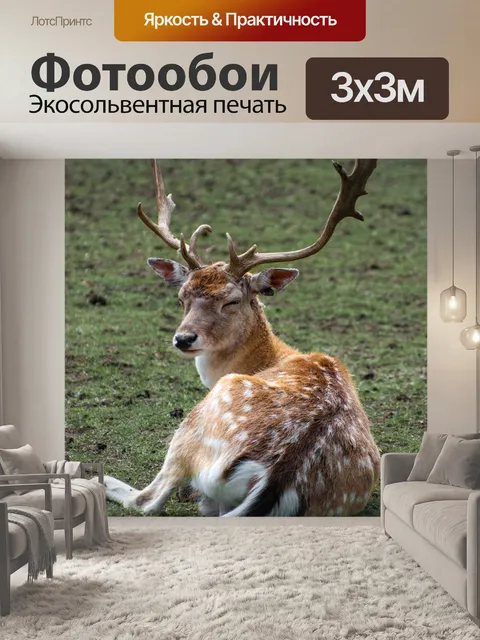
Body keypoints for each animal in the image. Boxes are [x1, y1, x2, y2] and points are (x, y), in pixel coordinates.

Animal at [104, 159, 381, 517]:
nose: (184, 339)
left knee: (148, 500)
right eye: (181, 297)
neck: (272, 356)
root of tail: (277, 473)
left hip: (197, 422)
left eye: (231, 300)